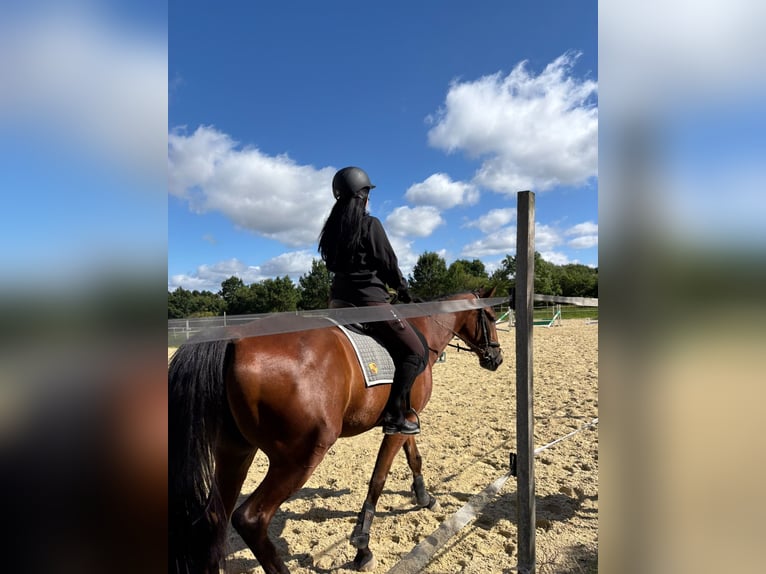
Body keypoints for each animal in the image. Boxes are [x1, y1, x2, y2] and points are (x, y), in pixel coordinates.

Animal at [169, 288, 504, 574]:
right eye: (489, 315)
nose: (497, 359)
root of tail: (235, 339)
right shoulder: (397, 426)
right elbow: (378, 479)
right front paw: (362, 547)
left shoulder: (407, 420)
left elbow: (414, 457)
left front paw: (424, 497)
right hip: (299, 457)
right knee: (250, 519)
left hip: (235, 452)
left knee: (214, 518)